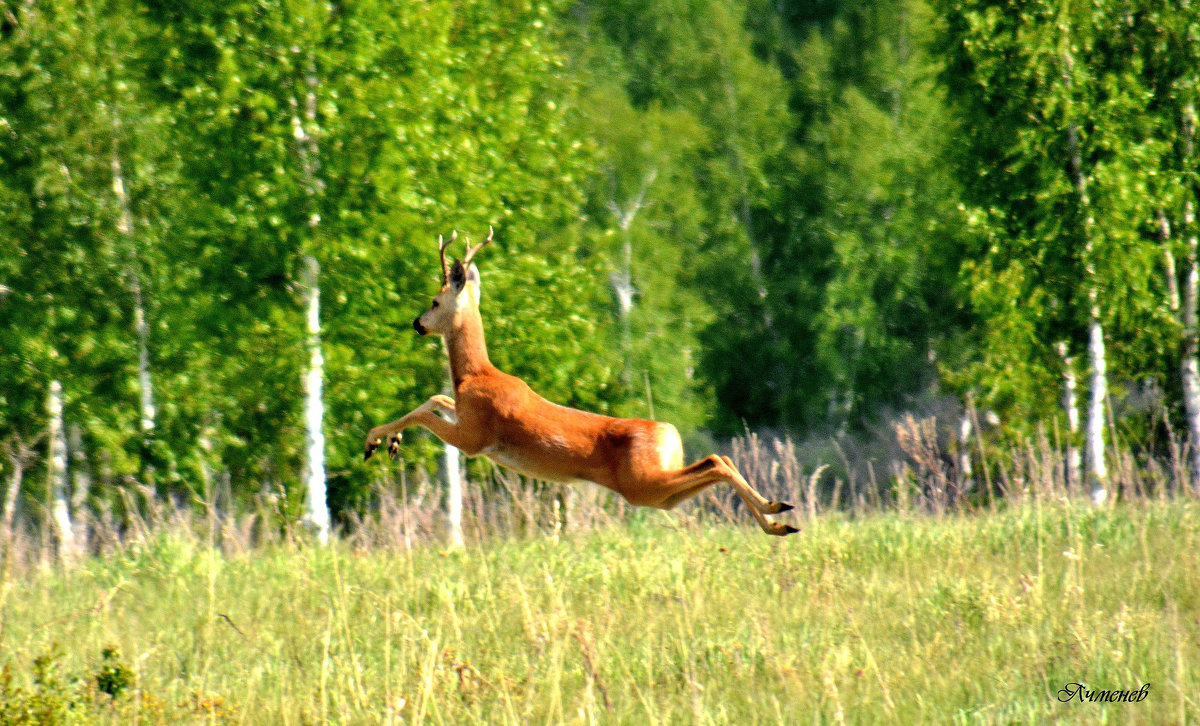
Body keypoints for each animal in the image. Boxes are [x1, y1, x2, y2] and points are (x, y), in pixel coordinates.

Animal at [364, 229, 796, 535]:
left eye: (435, 301)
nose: (417, 323)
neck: (475, 374)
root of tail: (669, 432)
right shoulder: (465, 416)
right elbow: (436, 398)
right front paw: (391, 442)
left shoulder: (475, 438)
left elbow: (425, 412)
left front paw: (374, 442)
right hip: (658, 492)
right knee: (717, 461)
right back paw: (779, 520)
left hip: (644, 483)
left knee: (717, 461)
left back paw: (776, 510)